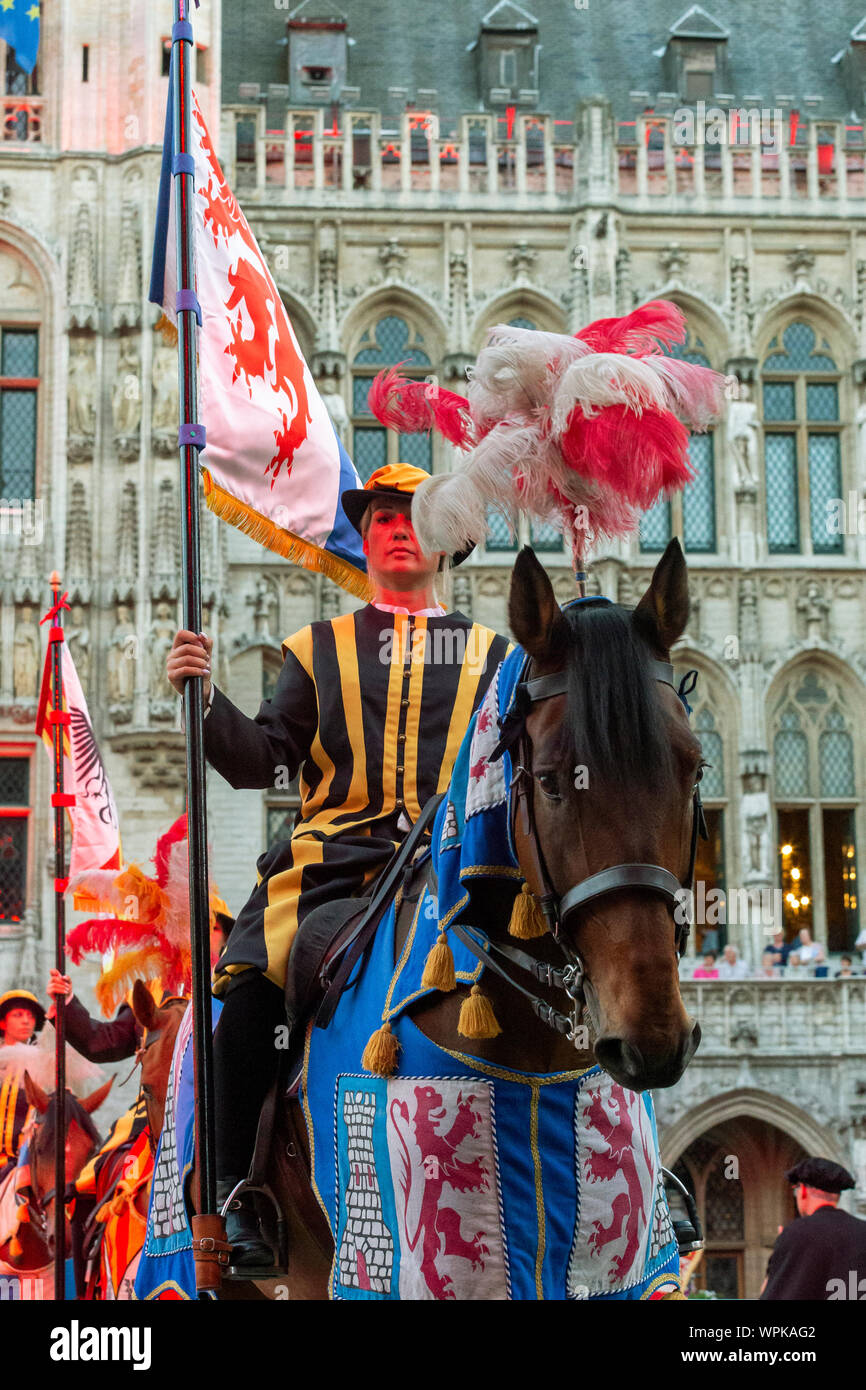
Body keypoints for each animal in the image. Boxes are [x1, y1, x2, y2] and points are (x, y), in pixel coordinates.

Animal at [136, 536, 706, 1295]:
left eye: (694, 769)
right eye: (551, 779)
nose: (651, 1038)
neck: (535, 1059)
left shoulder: (625, 1268)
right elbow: (269, 743)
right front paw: (188, 667)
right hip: (193, 1260)